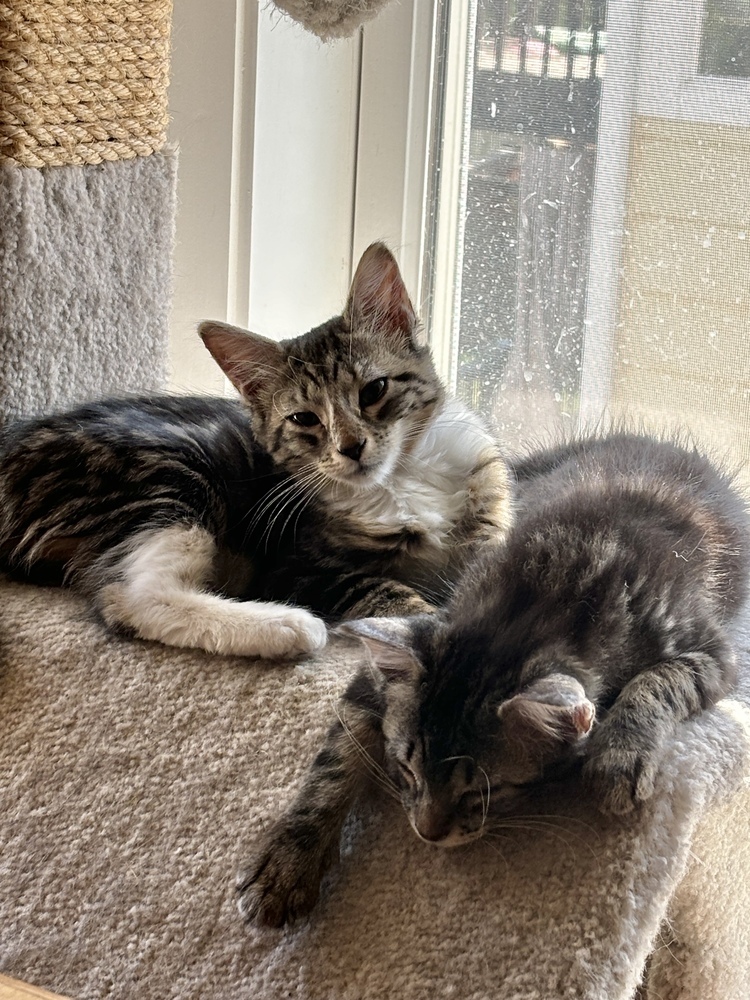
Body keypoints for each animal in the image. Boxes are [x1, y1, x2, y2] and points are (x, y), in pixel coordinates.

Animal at [0, 245, 512, 660]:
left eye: (375, 390)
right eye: (305, 419)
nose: (351, 447)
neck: (402, 479)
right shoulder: (296, 567)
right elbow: (382, 590)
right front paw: (428, 624)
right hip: (167, 478)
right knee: (130, 596)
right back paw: (285, 627)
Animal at [242, 434, 750, 924]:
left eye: (485, 792)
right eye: (406, 767)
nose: (426, 833)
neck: (546, 592)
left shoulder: (715, 654)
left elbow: (658, 681)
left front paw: (620, 752)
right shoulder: (378, 675)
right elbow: (334, 762)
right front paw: (289, 859)